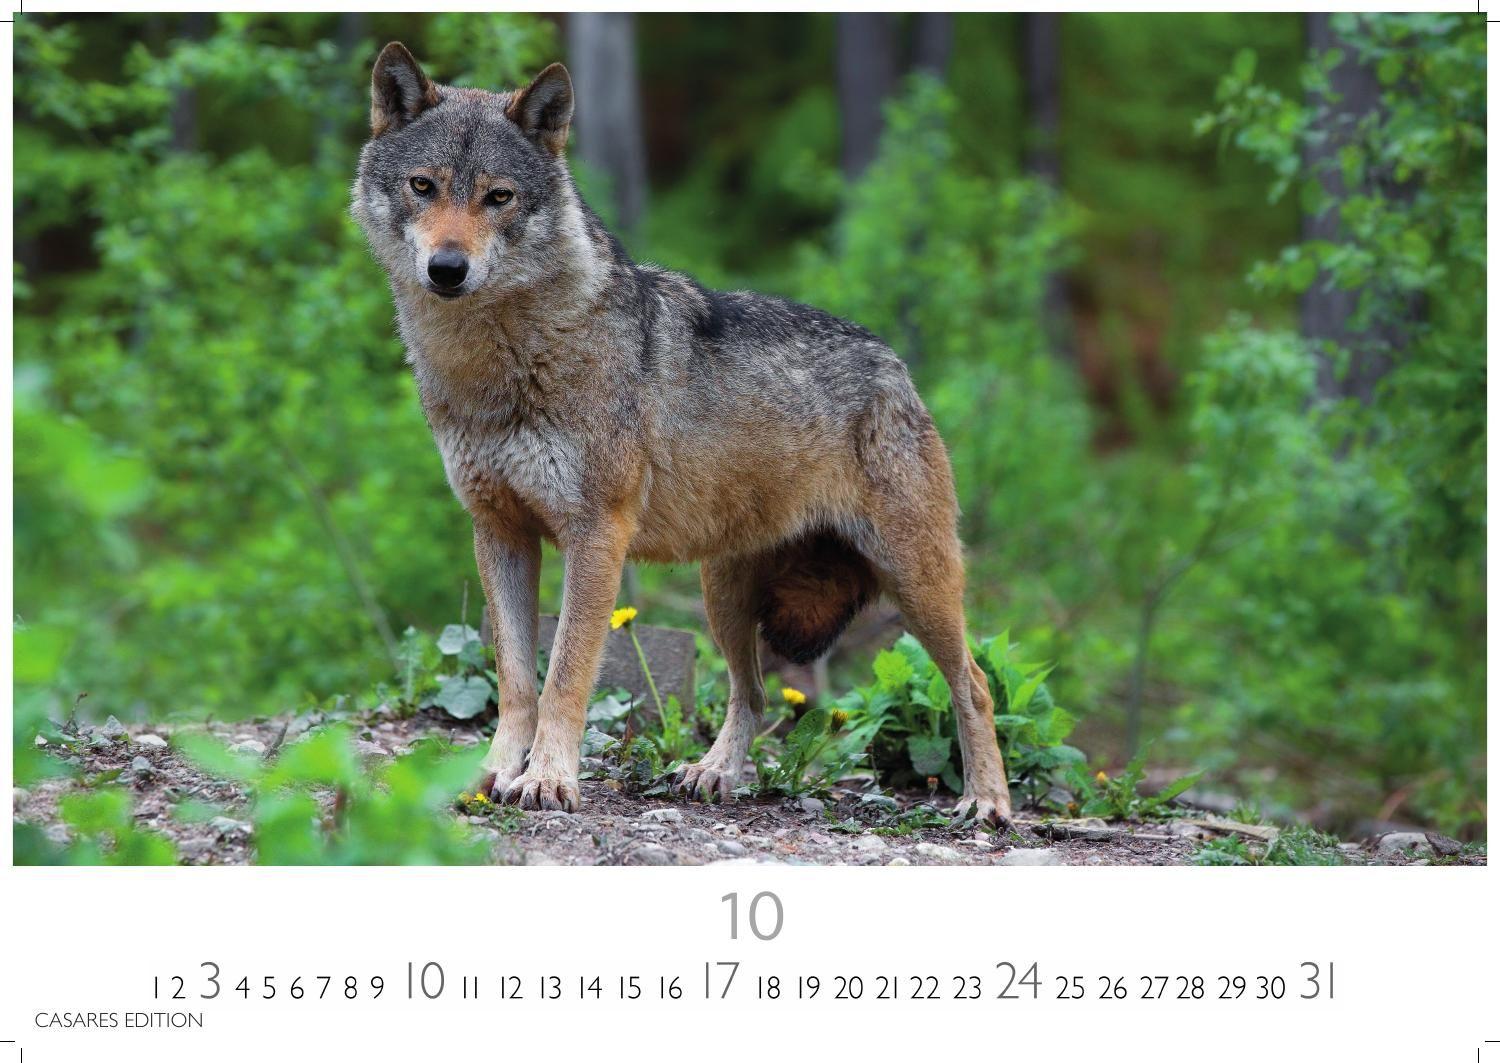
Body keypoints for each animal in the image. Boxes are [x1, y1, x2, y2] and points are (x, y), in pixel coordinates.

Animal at [352, 43, 1013, 826]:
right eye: (423, 186)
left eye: (499, 197)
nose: (448, 268)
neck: (501, 366)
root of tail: (896, 365)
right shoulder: (499, 530)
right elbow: (515, 680)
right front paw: (490, 775)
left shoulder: (596, 534)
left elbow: (564, 675)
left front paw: (548, 780)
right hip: (723, 595)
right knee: (750, 694)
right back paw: (714, 773)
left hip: (916, 582)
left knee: (973, 682)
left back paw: (987, 801)